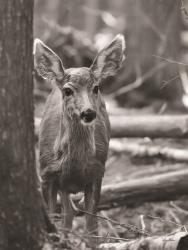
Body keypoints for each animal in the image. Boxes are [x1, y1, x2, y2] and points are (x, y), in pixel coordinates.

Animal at [34, 33, 125, 246]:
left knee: (70, 213)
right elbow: (53, 218)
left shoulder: (97, 172)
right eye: (67, 90)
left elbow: (91, 229)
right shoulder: (46, 174)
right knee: (68, 213)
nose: (88, 112)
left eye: (96, 88)